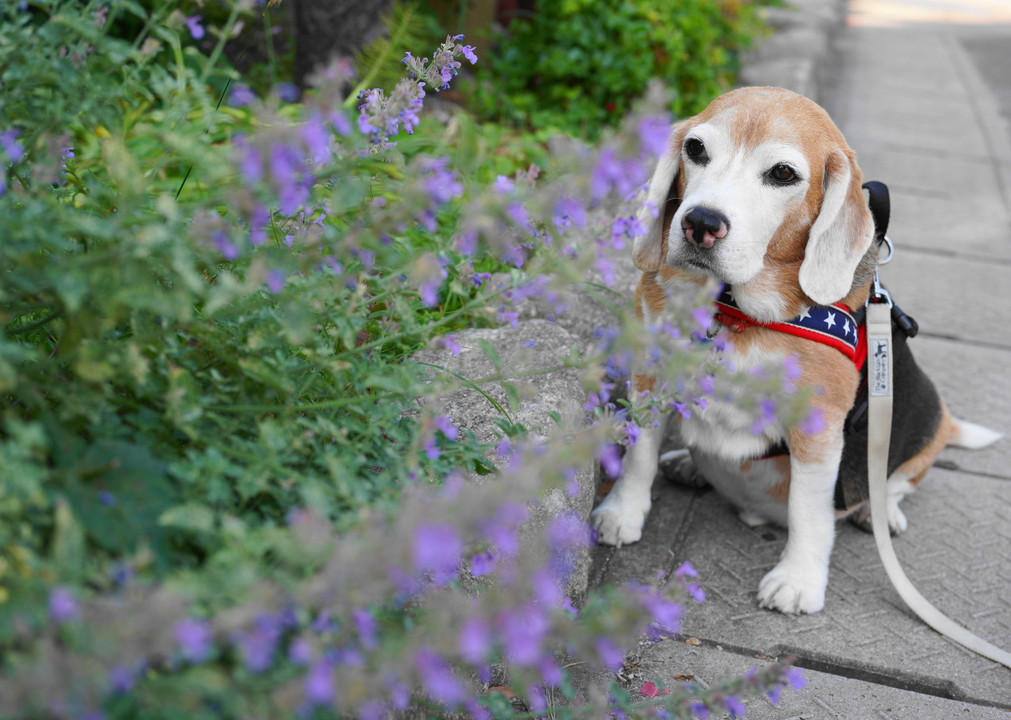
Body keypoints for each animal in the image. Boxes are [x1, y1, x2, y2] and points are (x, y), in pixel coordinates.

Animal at [590, 84, 998, 614]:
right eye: (695, 149)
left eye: (783, 173)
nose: (700, 222)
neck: (732, 310)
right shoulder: (647, 374)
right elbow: (638, 451)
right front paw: (622, 513)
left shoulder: (817, 426)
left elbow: (809, 510)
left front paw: (798, 580)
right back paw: (687, 464)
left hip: (922, 423)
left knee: (892, 483)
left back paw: (878, 513)